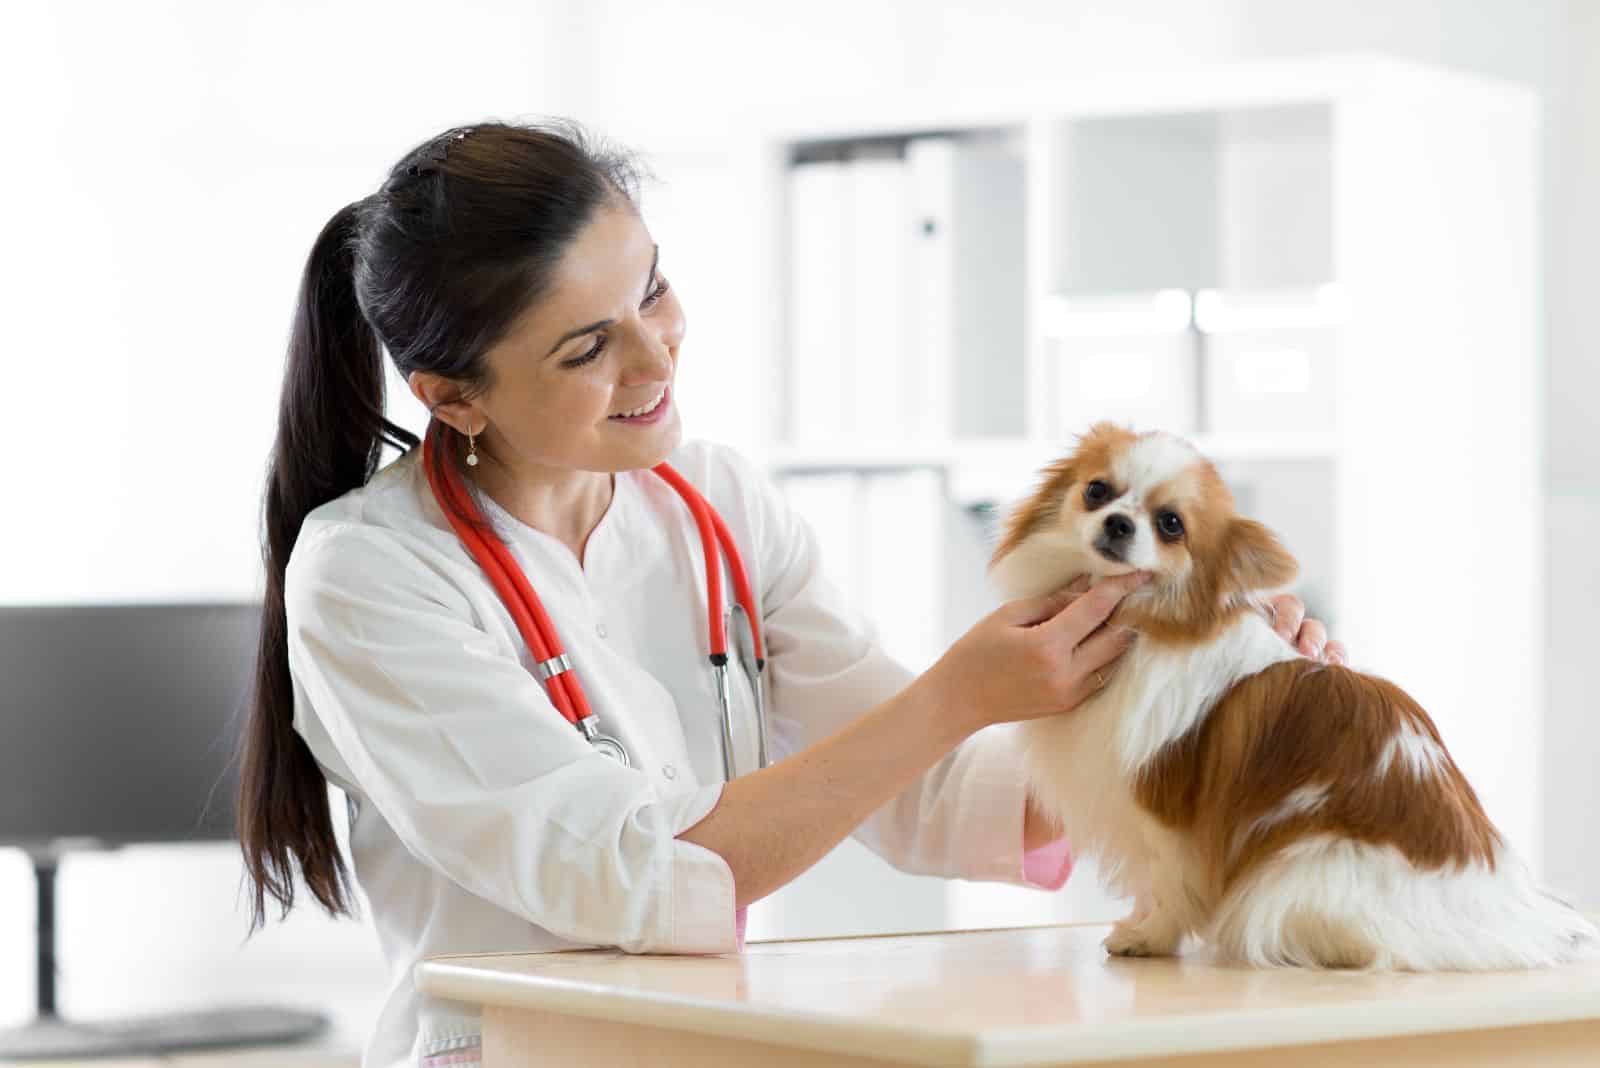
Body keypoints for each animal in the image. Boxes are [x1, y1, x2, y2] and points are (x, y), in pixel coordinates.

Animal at [992, 422, 1593, 972]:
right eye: (1097, 490)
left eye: (1171, 525)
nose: (1117, 522)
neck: (1145, 619)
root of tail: (1503, 906)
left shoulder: (1166, 809)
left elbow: (1169, 883)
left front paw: (1147, 936)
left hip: (1295, 871)